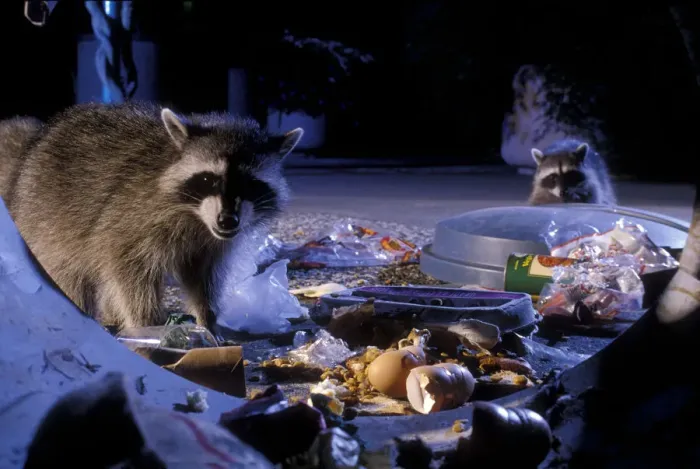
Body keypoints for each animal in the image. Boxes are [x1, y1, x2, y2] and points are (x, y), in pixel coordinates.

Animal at [2, 102, 303, 329]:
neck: (197, 218)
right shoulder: (132, 217)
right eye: (208, 179)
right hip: (46, 222)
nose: (227, 220)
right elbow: (128, 270)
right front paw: (148, 324)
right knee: (69, 277)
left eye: (250, 184)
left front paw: (207, 318)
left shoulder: (213, 243)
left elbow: (202, 278)